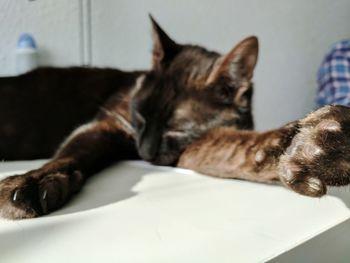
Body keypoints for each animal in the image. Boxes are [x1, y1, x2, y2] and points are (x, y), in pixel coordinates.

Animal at [0, 15, 258, 220]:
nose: (145, 152)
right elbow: (71, 152)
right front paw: (33, 183)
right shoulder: (105, 124)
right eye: (141, 115)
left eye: (177, 128)